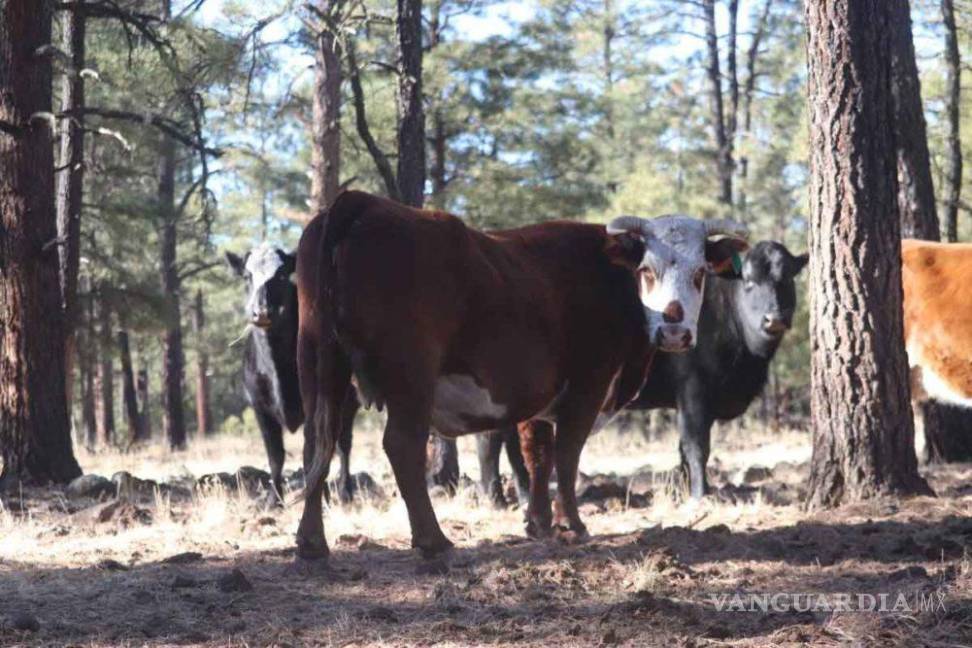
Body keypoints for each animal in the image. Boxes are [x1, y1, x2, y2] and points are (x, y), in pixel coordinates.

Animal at [292, 190, 748, 560]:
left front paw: (539, 522)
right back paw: (433, 539)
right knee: (402, 445)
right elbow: (566, 455)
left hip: (319, 365)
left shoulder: (539, 397)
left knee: (318, 442)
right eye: (647, 270)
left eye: (700, 273)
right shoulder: (588, 384)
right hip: (411, 375)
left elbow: (538, 455)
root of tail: (362, 201)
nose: (674, 331)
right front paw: (571, 524)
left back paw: (312, 542)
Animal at [476, 240, 804, 504]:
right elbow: (697, 445)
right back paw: (500, 498)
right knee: (494, 441)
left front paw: (683, 489)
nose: (774, 318)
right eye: (748, 281)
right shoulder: (694, 391)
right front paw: (701, 494)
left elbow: (683, 449)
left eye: (787, 278)